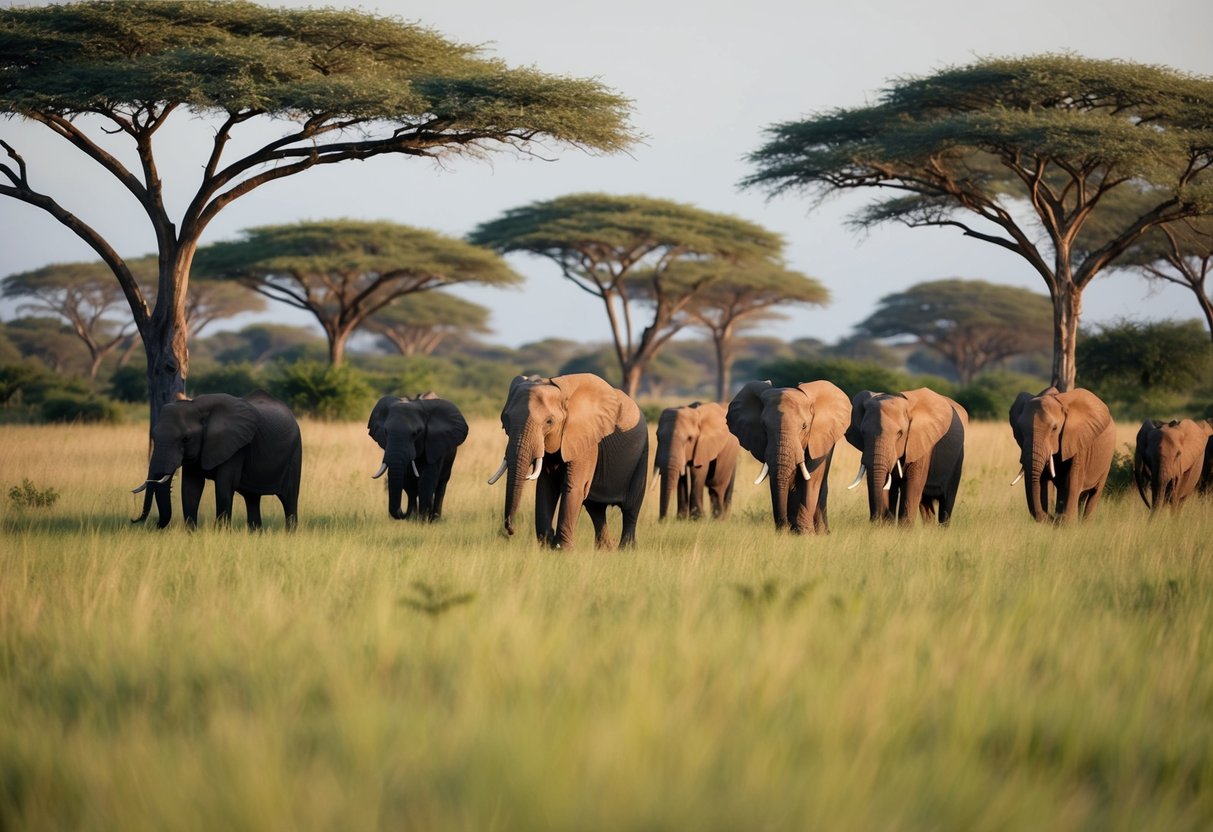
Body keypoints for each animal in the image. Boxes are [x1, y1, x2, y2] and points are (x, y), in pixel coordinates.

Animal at [131, 390, 302, 530]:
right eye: (154, 435)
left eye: (186, 439)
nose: (134, 520)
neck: (197, 407)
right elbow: (190, 487)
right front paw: (191, 534)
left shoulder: (236, 447)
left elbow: (224, 486)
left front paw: (221, 533)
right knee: (252, 498)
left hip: (294, 453)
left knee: (289, 499)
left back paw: (289, 534)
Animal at [488, 373, 648, 549]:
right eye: (505, 422)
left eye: (549, 422)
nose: (510, 529)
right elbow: (546, 486)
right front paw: (546, 545)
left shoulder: (586, 440)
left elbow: (574, 486)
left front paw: (561, 549)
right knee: (595, 508)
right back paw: (605, 549)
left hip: (642, 453)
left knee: (630, 507)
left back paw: (626, 549)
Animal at [726, 379, 851, 533]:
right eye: (763, 426)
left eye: (804, 426)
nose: (782, 527)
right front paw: (792, 531)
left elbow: (811, 478)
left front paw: (805, 532)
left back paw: (821, 532)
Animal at [845, 388, 968, 525]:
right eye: (863, 432)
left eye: (900, 433)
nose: (877, 518)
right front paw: (887, 525)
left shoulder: (922, 443)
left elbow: (912, 484)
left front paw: (902, 528)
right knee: (926, 505)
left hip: (958, 458)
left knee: (946, 503)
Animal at [1008, 387, 1115, 523]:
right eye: (1020, 430)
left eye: (1054, 428)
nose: (1050, 516)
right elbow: (1043, 481)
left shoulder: (1078, 442)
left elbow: (1072, 480)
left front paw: (1067, 523)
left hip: (1106, 462)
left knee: (1094, 493)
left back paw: (1084, 523)